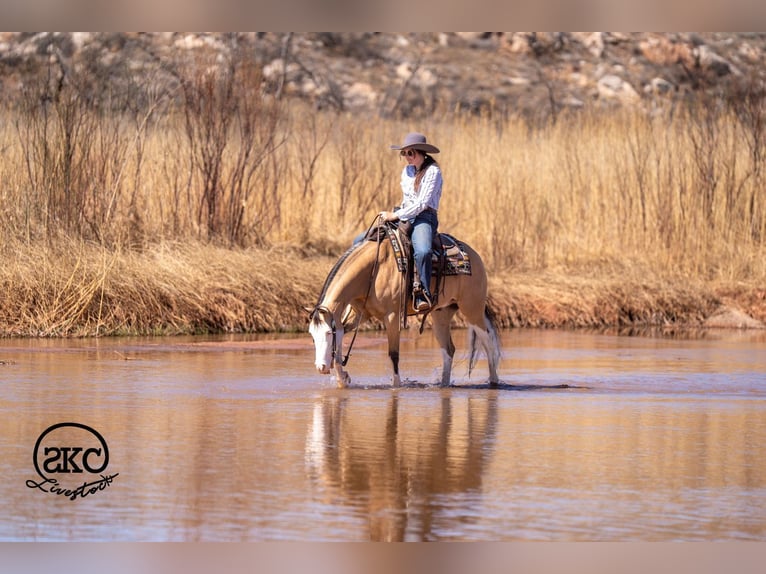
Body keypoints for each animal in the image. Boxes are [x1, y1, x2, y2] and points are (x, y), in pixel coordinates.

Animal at [308, 224, 501, 388]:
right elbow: (341, 338)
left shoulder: (392, 316)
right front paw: (343, 378)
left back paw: (494, 381)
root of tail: (474, 255)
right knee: (448, 350)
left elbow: (394, 354)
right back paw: (444, 385)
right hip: (441, 314)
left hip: (472, 310)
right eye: (312, 336)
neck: (373, 270)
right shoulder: (359, 315)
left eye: (327, 333)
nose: (321, 368)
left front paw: (396, 385)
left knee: (488, 342)